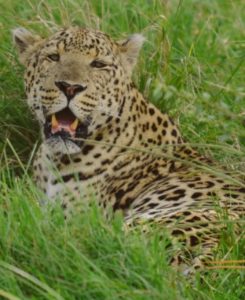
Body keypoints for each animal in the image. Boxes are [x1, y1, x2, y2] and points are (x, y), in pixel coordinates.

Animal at [12, 27, 243, 274]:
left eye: (98, 64)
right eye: (53, 57)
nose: (70, 87)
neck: (55, 157)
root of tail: (221, 244)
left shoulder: (70, 215)